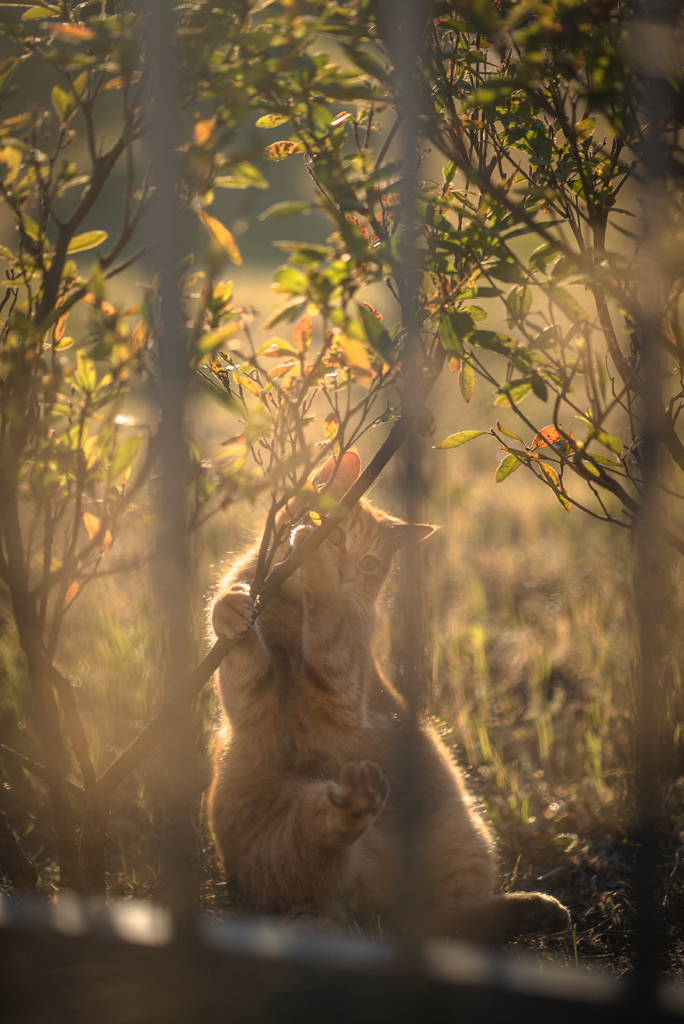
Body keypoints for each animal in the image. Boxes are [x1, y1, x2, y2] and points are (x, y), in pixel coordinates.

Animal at [209, 456, 573, 942]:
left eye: (369, 564)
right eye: (336, 535)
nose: (345, 572)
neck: (293, 616)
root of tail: (365, 911)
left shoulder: (342, 695)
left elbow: (330, 633)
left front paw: (319, 573)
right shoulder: (253, 706)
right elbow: (244, 652)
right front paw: (230, 606)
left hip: (461, 830)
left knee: (444, 921)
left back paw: (538, 909)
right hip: (289, 820)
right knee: (323, 838)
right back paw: (357, 801)